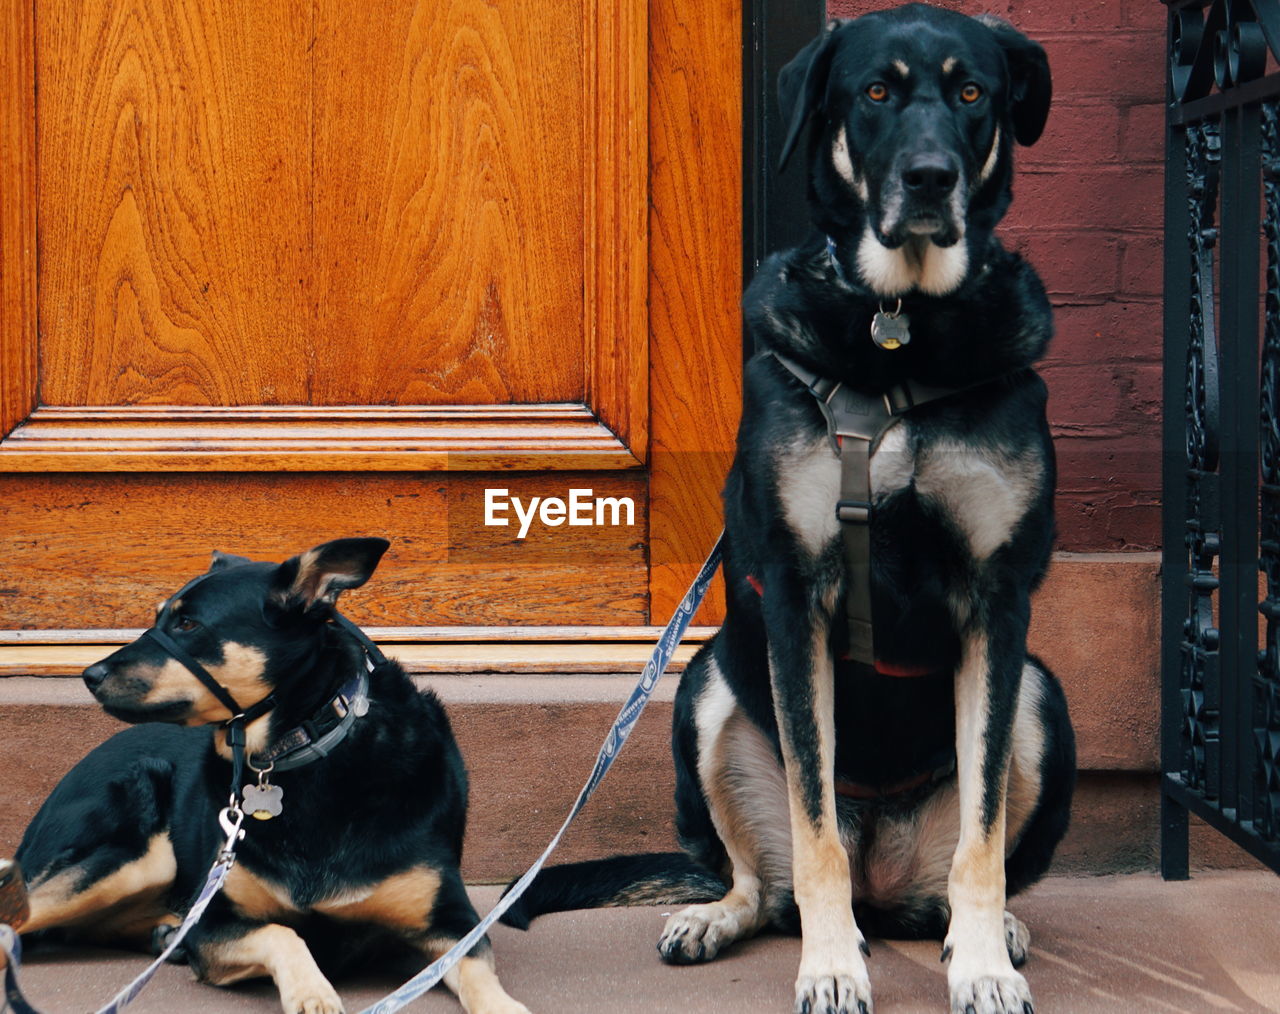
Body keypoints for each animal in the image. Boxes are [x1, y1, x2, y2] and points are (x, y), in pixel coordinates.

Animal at [5, 537, 524, 1014]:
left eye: (188, 623)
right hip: (126, 857)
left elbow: (480, 975)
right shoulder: (210, 926)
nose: (88, 674)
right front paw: (312, 993)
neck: (301, 753)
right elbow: (283, 933)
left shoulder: (453, 922)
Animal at [504, 7, 1075, 1014]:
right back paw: (720, 917)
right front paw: (833, 967)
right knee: (764, 881)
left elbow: (981, 837)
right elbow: (813, 837)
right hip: (705, 689)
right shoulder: (797, 596)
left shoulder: (998, 601)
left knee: (963, 866)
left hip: (1044, 699)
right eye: (876, 92)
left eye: (973, 93)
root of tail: (887, 876)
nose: (930, 178)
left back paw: (990, 932)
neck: (899, 329)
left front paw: (982, 966)